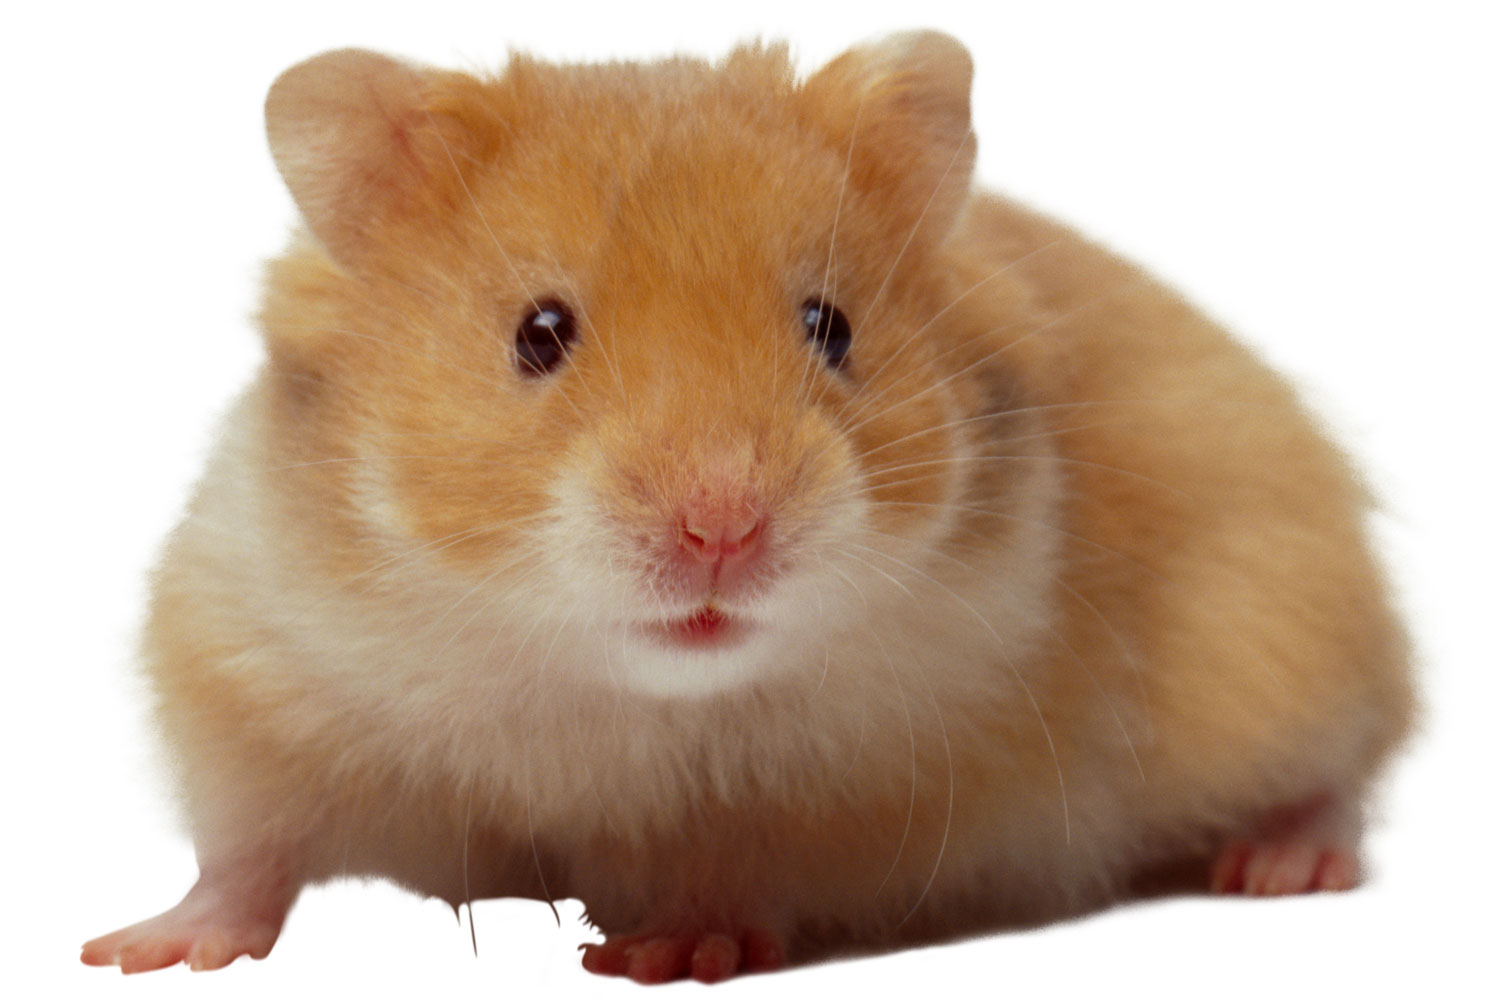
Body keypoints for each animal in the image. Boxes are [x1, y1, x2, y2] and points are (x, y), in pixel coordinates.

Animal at [81, 32, 1414, 984]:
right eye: (538, 335)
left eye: (832, 327)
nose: (722, 528)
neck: (598, 683)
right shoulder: (247, 669)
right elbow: (246, 848)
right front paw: (143, 951)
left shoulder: (856, 793)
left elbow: (728, 864)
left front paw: (659, 954)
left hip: (1285, 643)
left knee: (1344, 766)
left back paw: (1280, 864)